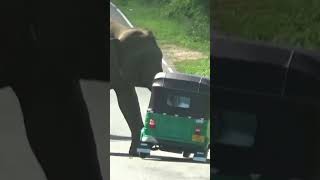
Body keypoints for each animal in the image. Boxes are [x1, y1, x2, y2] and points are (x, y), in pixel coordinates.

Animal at [110, 19, 165, 155]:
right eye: (142, 60)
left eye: (161, 58)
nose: (155, 146)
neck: (121, 30)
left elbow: (128, 101)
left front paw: (136, 151)